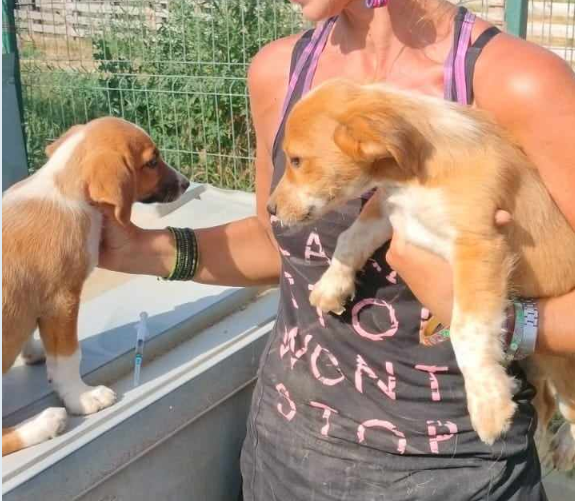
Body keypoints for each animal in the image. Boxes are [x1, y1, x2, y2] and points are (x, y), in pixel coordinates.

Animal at [2, 116, 191, 454]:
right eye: (152, 162)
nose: (187, 183)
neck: (64, 185)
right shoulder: (62, 300)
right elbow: (67, 360)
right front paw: (82, 397)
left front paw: (32, 349)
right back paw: (44, 424)